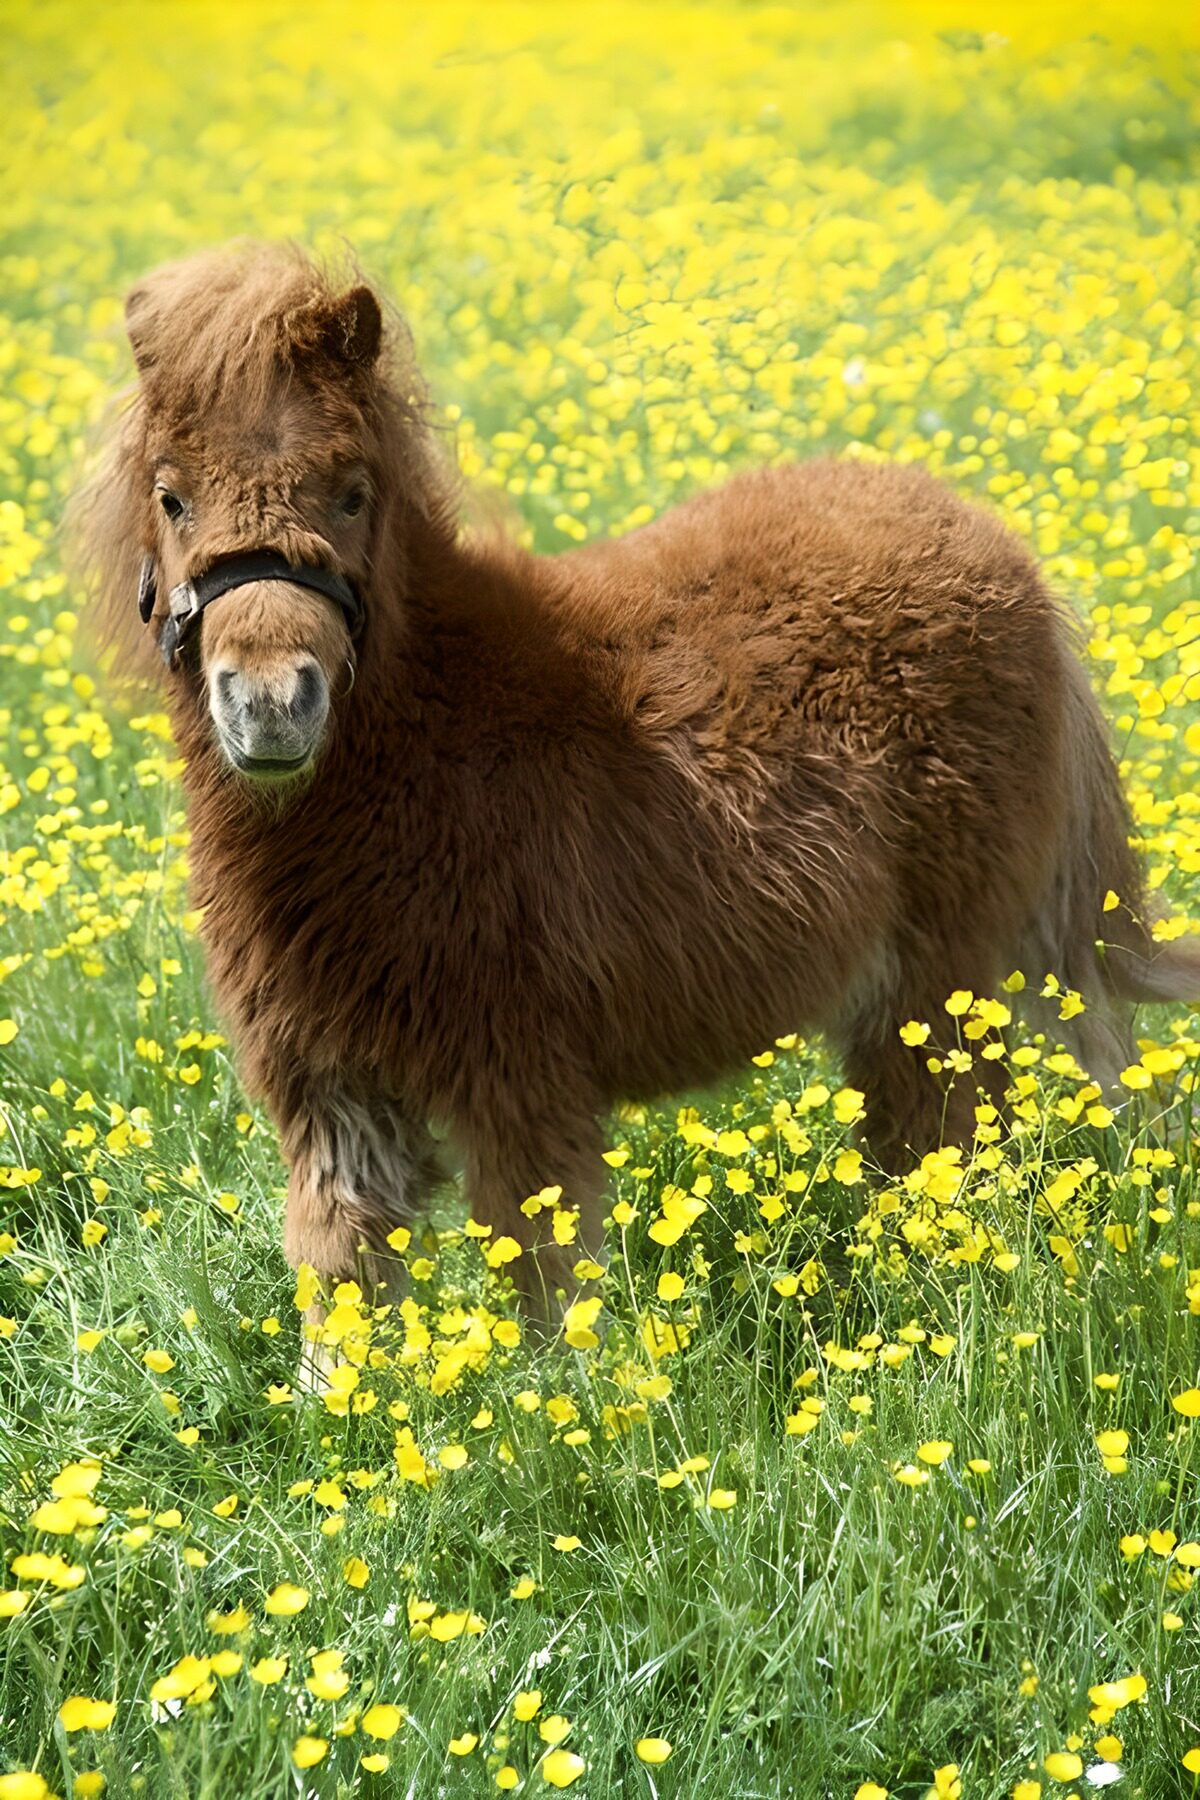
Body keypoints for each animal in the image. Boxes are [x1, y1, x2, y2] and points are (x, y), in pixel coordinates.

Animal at [70, 242, 1200, 1318]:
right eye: (171, 497)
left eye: (351, 491)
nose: (271, 704)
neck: (442, 736)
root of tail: (1008, 559)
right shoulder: (334, 1100)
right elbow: (341, 1300)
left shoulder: (522, 1086)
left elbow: (547, 1299)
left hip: (943, 986)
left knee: (955, 1151)